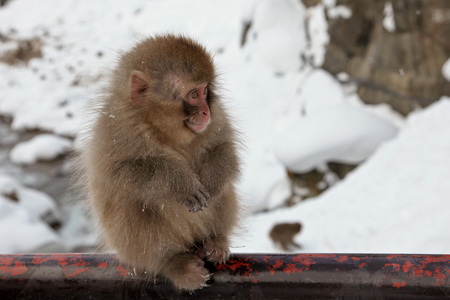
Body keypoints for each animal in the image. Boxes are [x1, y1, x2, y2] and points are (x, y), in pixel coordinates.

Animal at [74, 34, 239, 292]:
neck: (164, 130)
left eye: (205, 91)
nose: (205, 112)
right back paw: (172, 263)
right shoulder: (116, 127)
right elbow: (118, 174)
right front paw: (180, 181)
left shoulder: (218, 116)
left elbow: (225, 148)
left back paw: (216, 240)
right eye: (193, 95)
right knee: (133, 203)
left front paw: (213, 179)